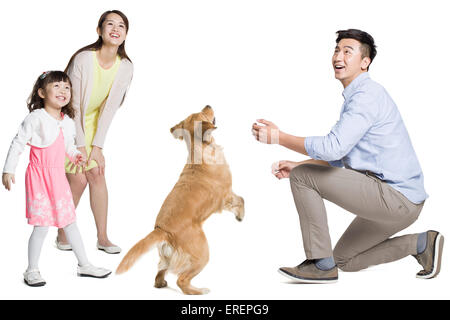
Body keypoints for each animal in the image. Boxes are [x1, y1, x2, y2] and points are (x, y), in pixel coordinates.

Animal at [114, 105, 244, 296]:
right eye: (204, 114)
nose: (208, 105)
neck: (200, 152)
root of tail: (162, 230)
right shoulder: (226, 194)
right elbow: (241, 200)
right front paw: (240, 215)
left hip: (166, 257)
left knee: (160, 271)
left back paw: (161, 283)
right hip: (202, 254)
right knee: (182, 280)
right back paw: (200, 290)